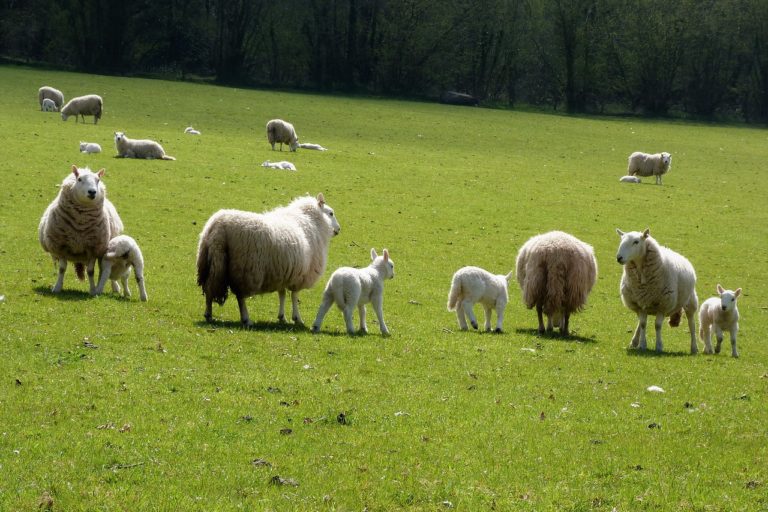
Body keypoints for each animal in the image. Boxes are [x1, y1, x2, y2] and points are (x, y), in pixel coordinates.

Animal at [39, 165, 123, 294]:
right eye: (79, 179)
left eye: (98, 180)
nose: (92, 192)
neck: (80, 224)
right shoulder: (61, 246)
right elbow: (62, 269)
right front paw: (57, 287)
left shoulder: (93, 248)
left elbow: (90, 271)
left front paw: (93, 290)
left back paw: (115, 287)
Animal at [196, 193, 341, 327]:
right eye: (331, 213)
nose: (339, 229)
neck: (312, 220)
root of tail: (219, 228)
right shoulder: (301, 275)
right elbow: (294, 296)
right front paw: (297, 318)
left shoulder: (283, 272)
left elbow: (282, 294)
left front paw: (282, 317)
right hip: (245, 269)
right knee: (240, 297)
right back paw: (246, 319)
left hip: (210, 264)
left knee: (209, 289)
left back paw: (208, 315)